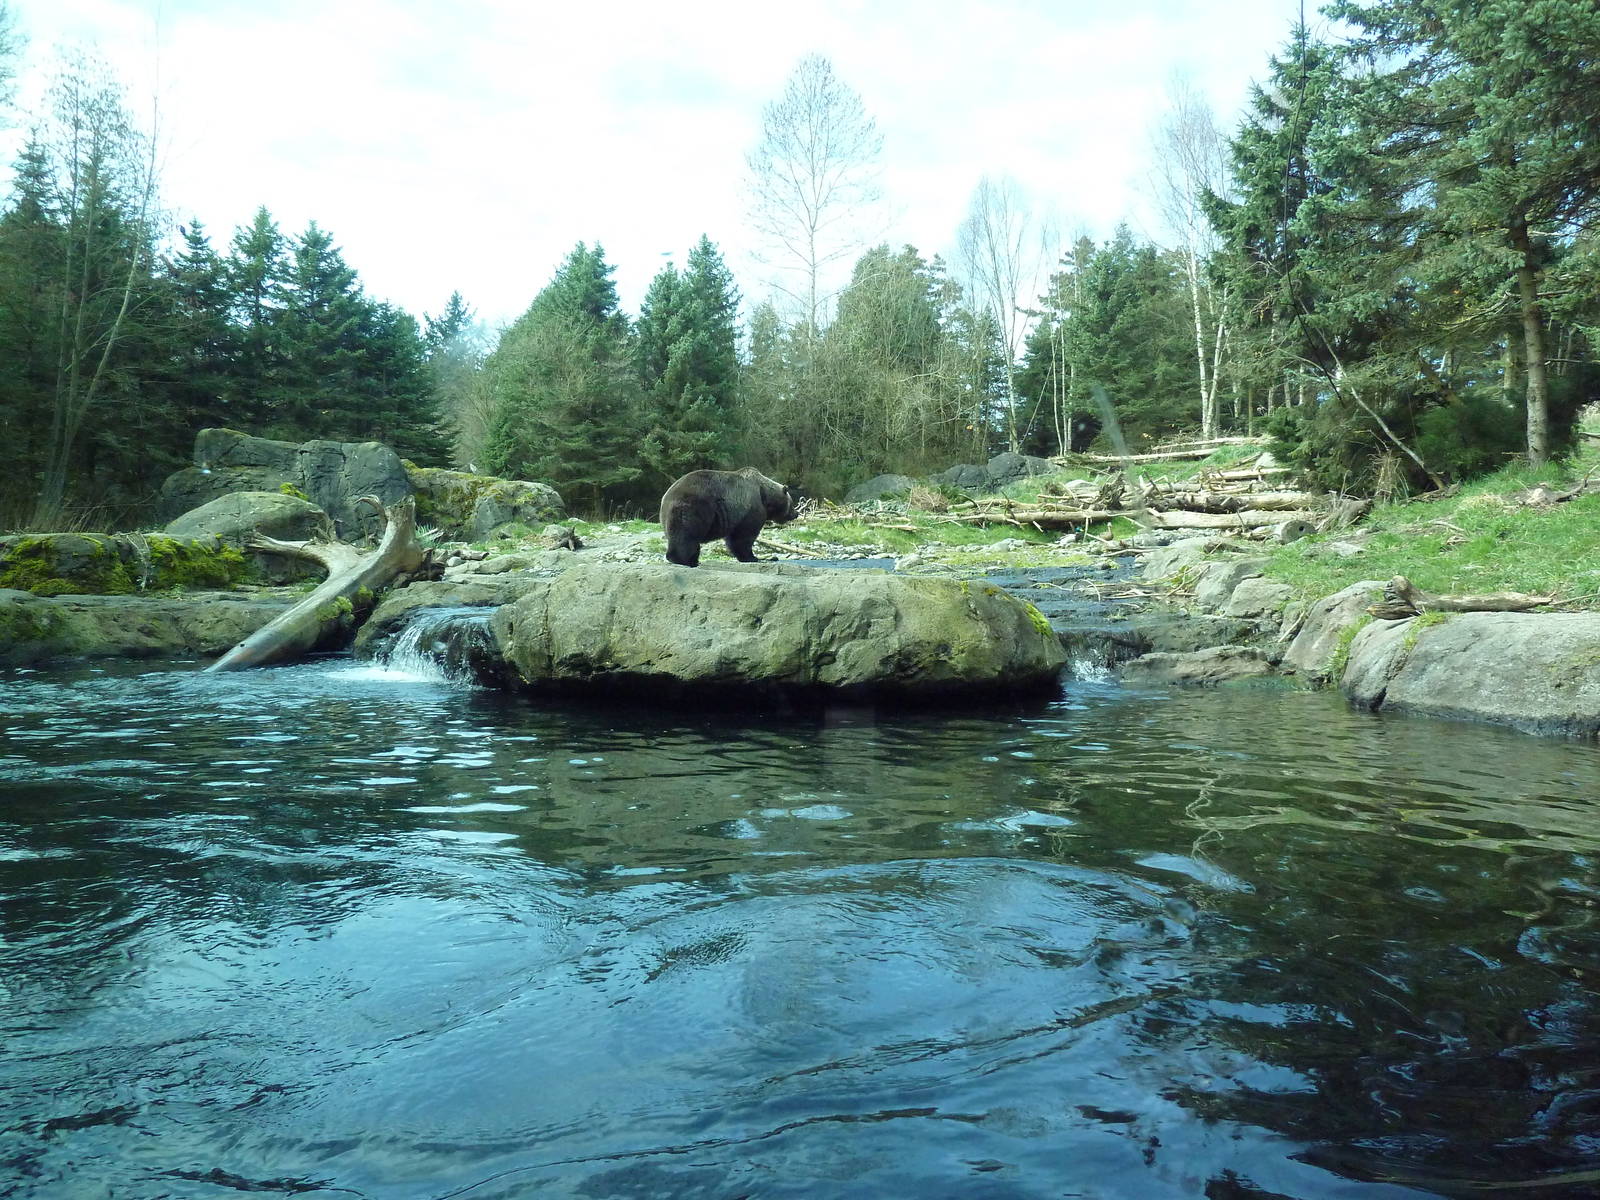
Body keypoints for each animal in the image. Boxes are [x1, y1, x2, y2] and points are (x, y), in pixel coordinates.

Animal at [659, 467, 799, 568]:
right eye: (792, 503)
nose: (796, 513)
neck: (764, 495)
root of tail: (666, 497)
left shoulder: (734, 515)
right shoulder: (751, 509)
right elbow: (744, 536)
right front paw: (751, 557)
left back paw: (693, 560)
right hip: (693, 509)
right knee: (686, 535)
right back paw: (683, 560)